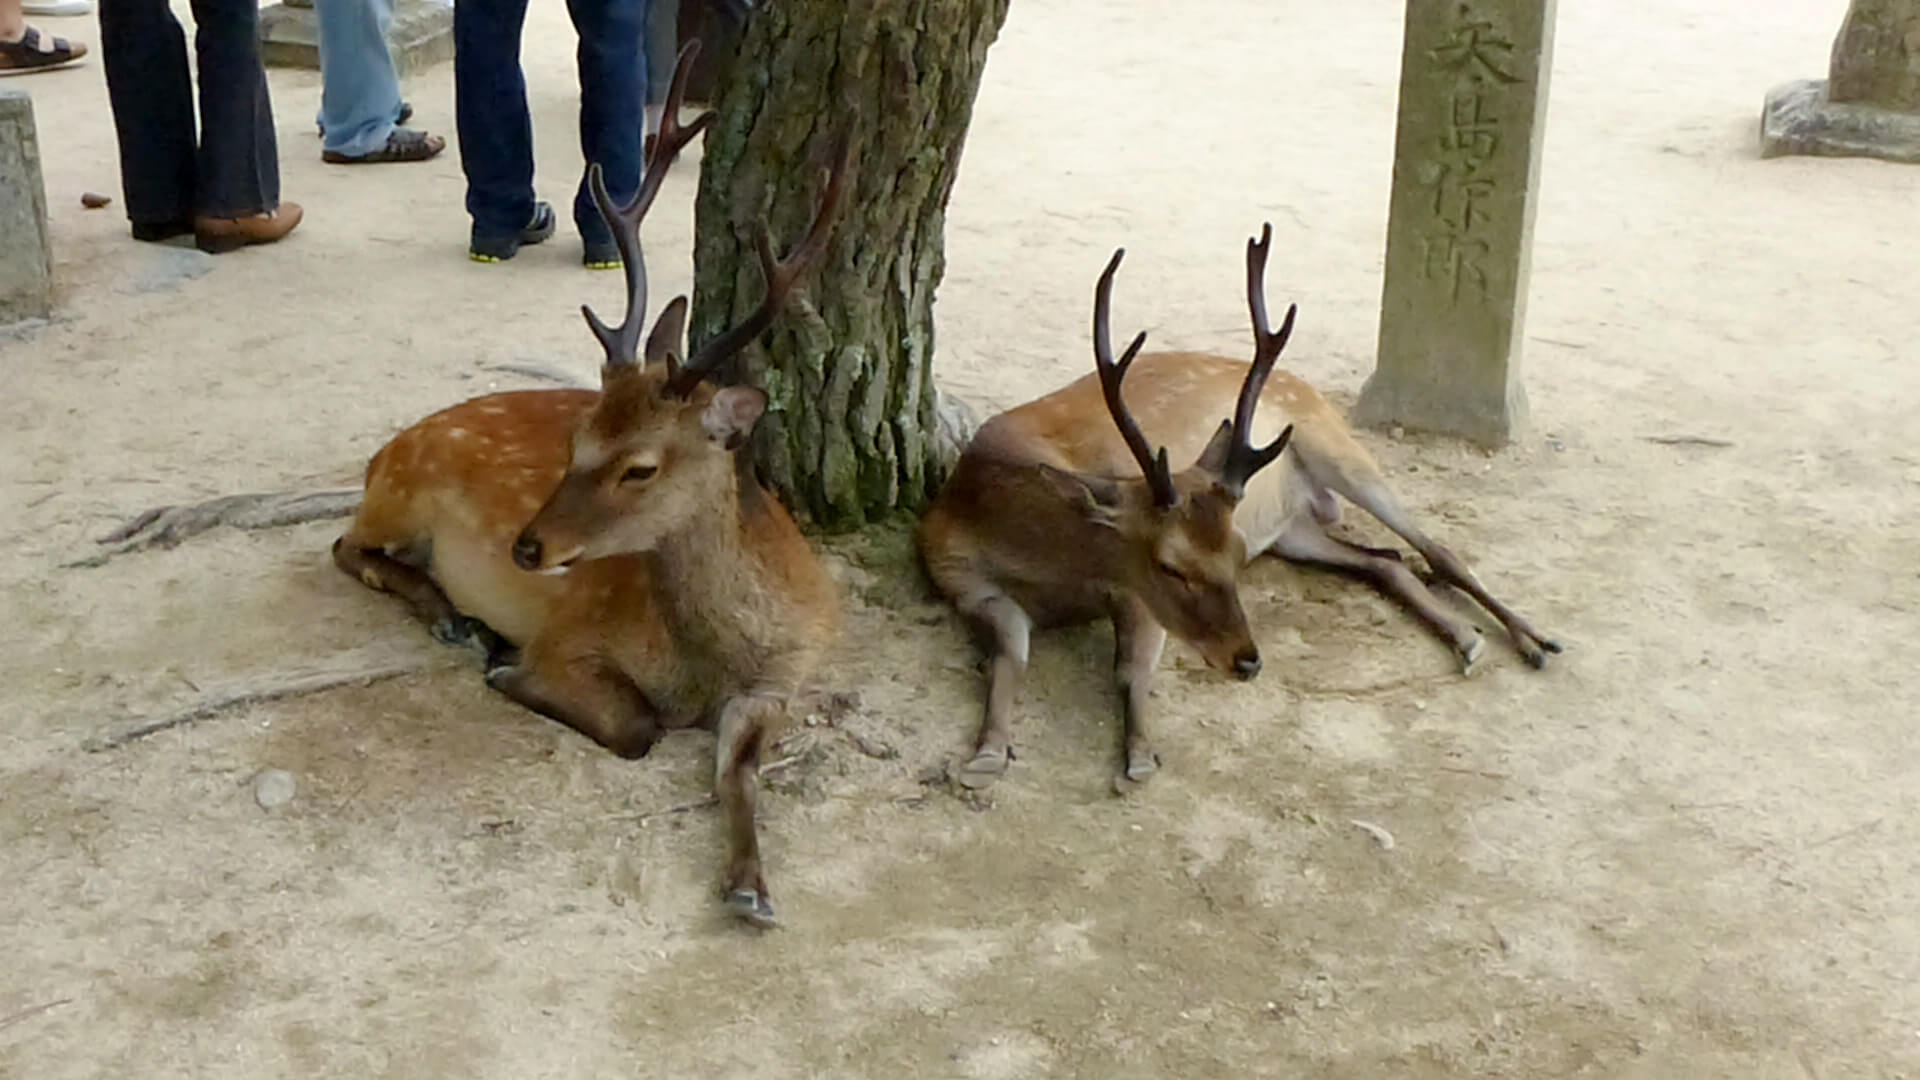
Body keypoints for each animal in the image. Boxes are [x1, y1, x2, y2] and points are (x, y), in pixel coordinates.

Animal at [330, 44, 848, 926]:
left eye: (640, 465)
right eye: (576, 440)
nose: (526, 549)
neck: (707, 664)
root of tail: (382, 453)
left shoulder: (785, 679)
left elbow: (741, 773)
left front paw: (751, 888)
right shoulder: (568, 635)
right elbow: (637, 728)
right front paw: (506, 670)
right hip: (399, 495)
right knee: (343, 545)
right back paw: (456, 620)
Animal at [917, 220, 1559, 791]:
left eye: (1233, 555)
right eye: (1171, 565)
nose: (1249, 660)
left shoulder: (1133, 597)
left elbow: (1130, 669)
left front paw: (1140, 754)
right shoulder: (964, 582)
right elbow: (1010, 660)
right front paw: (986, 753)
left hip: (1334, 444)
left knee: (1436, 547)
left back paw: (1533, 641)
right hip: (1294, 529)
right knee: (1386, 560)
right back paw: (1466, 637)